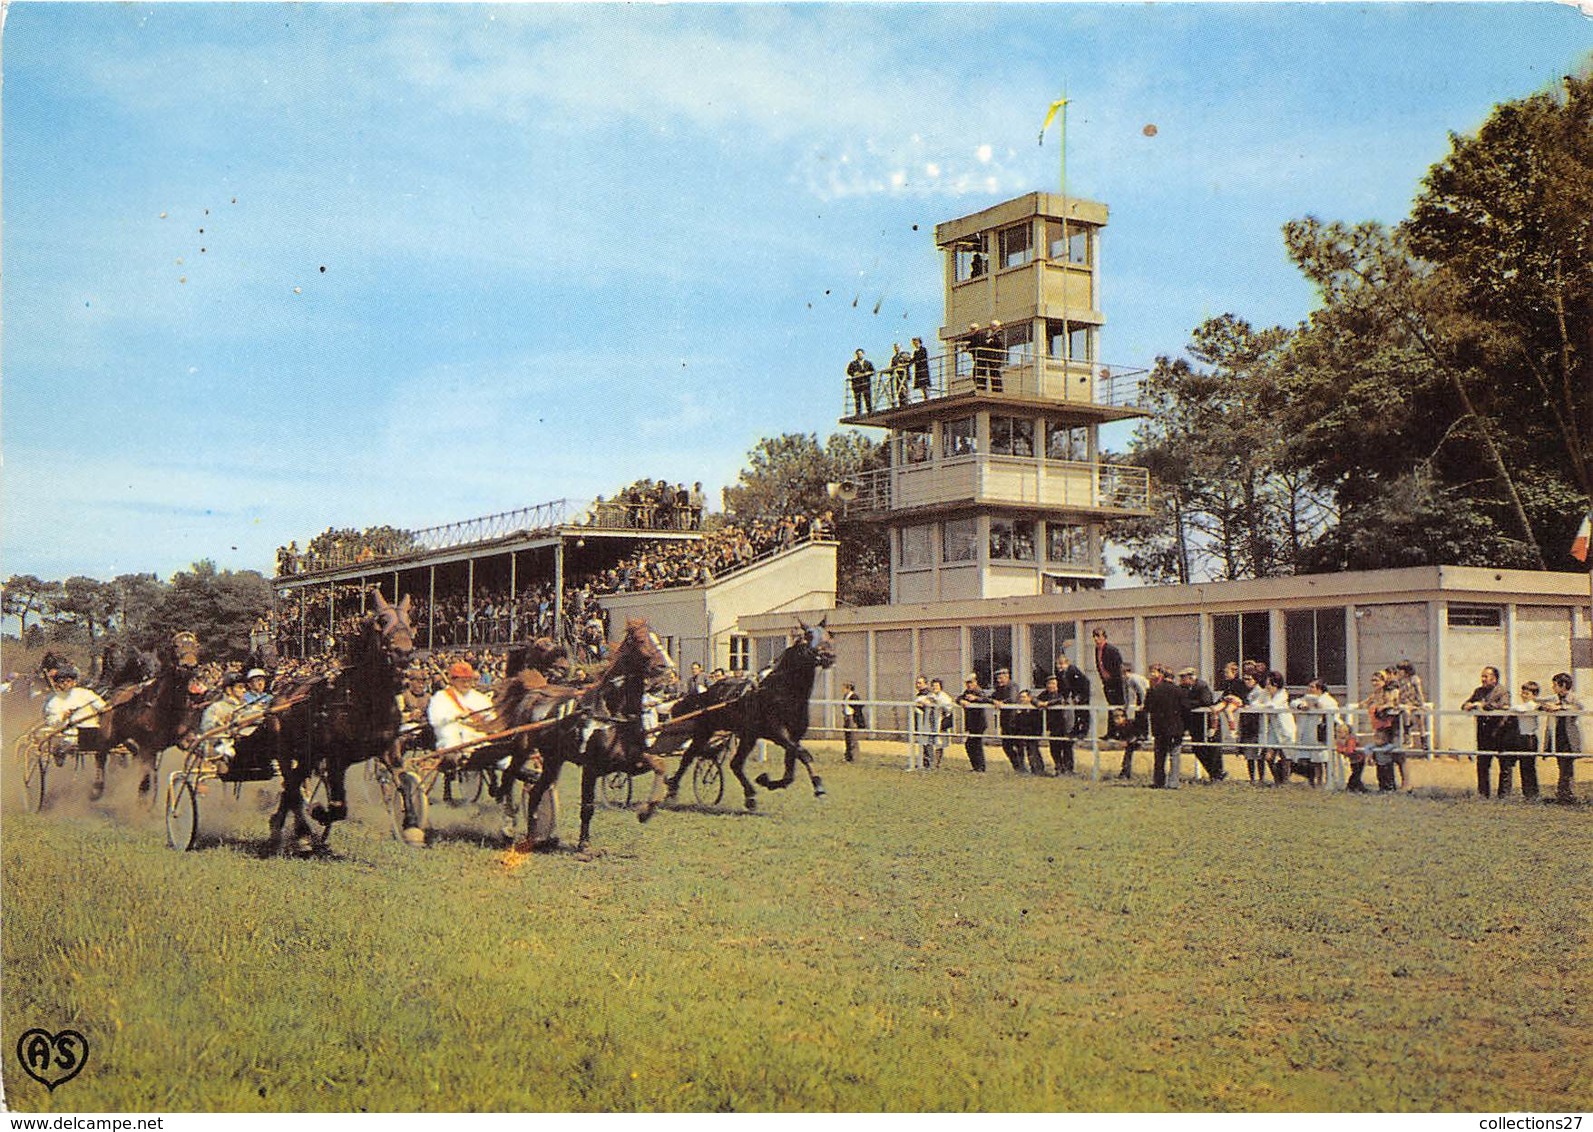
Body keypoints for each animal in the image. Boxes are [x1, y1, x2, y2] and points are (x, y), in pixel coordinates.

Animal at [497, 620, 672, 853]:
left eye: (658, 638)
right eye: (642, 640)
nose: (665, 668)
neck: (612, 711)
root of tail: (535, 691)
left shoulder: (629, 762)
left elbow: (659, 765)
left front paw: (647, 811)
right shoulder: (591, 767)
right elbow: (587, 805)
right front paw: (584, 844)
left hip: (553, 760)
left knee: (535, 792)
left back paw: (533, 836)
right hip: (521, 749)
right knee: (509, 778)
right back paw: (509, 827)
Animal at [659, 620, 834, 815]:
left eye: (828, 635)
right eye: (809, 636)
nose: (830, 656)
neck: (784, 692)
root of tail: (707, 692)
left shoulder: (794, 736)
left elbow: (790, 772)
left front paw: (767, 780)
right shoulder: (779, 733)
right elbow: (804, 755)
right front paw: (819, 787)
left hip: (747, 736)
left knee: (735, 764)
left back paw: (750, 796)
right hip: (705, 731)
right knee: (689, 756)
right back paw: (672, 789)